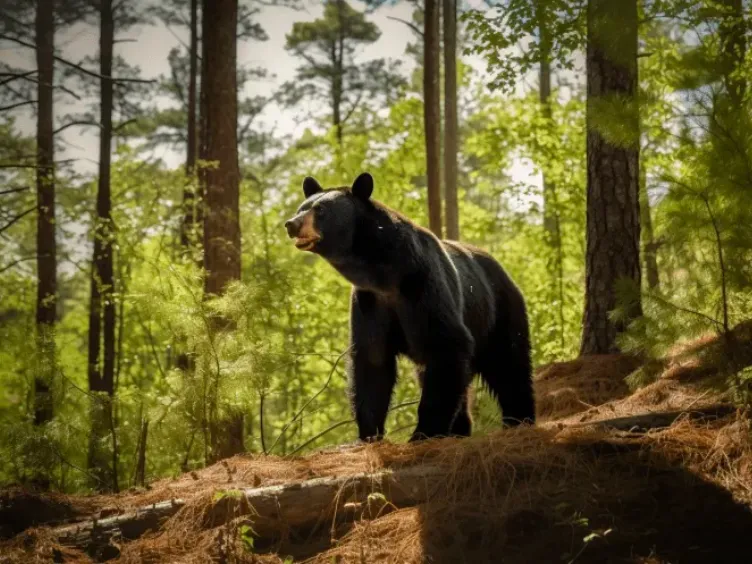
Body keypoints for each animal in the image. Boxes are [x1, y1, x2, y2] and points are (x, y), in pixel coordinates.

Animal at [284, 172, 535, 442]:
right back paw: (461, 429)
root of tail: (502, 269)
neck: (384, 275)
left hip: (498, 311)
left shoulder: (423, 286)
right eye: (302, 208)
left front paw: (423, 432)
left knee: (510, 363)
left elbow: (447, 344)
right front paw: (369, 433)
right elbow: (372, 362)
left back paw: (519, 420)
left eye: (320, 210)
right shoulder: (369, 303)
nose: (291, 224)